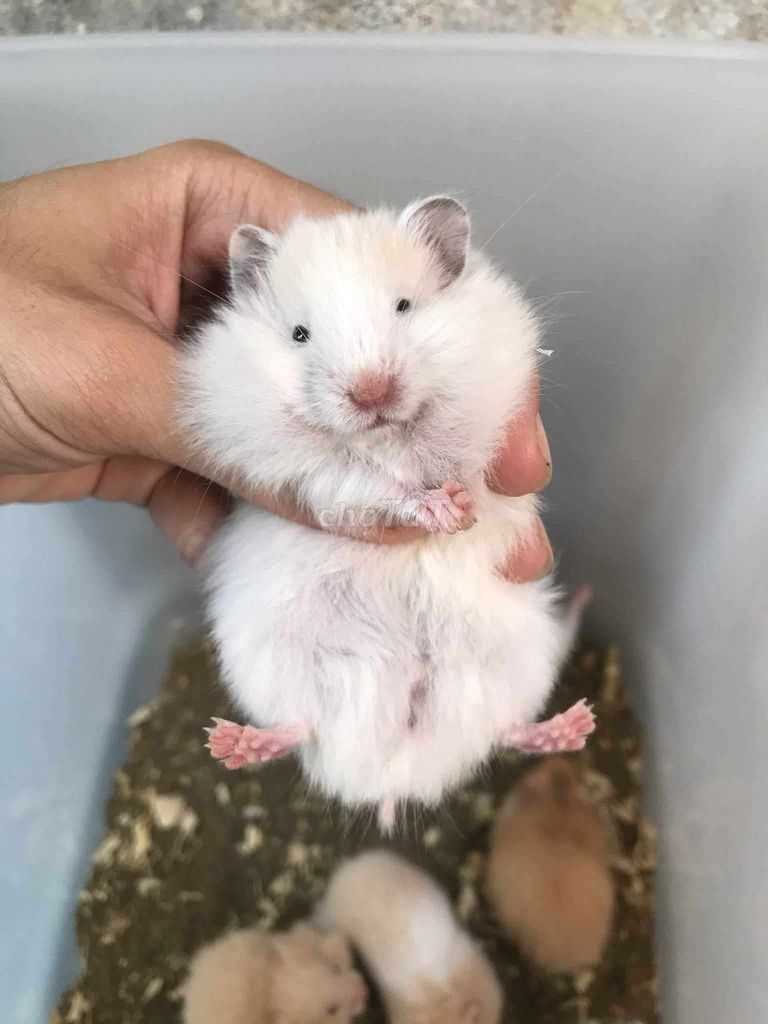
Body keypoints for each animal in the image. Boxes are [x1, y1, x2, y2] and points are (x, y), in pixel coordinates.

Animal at [182, 197, 595, 824]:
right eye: (299, 334)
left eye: (404, 306)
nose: (370, 393)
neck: (387, 436)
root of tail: (394, 771)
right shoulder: (314, 473)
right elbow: (371, 484)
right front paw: (445, 511)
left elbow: (465, 463)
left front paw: (463, 506)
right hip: (270, 657)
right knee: (300, 725)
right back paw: (232, 744)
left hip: (520, 654)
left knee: (504, 730)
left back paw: (576, 725)